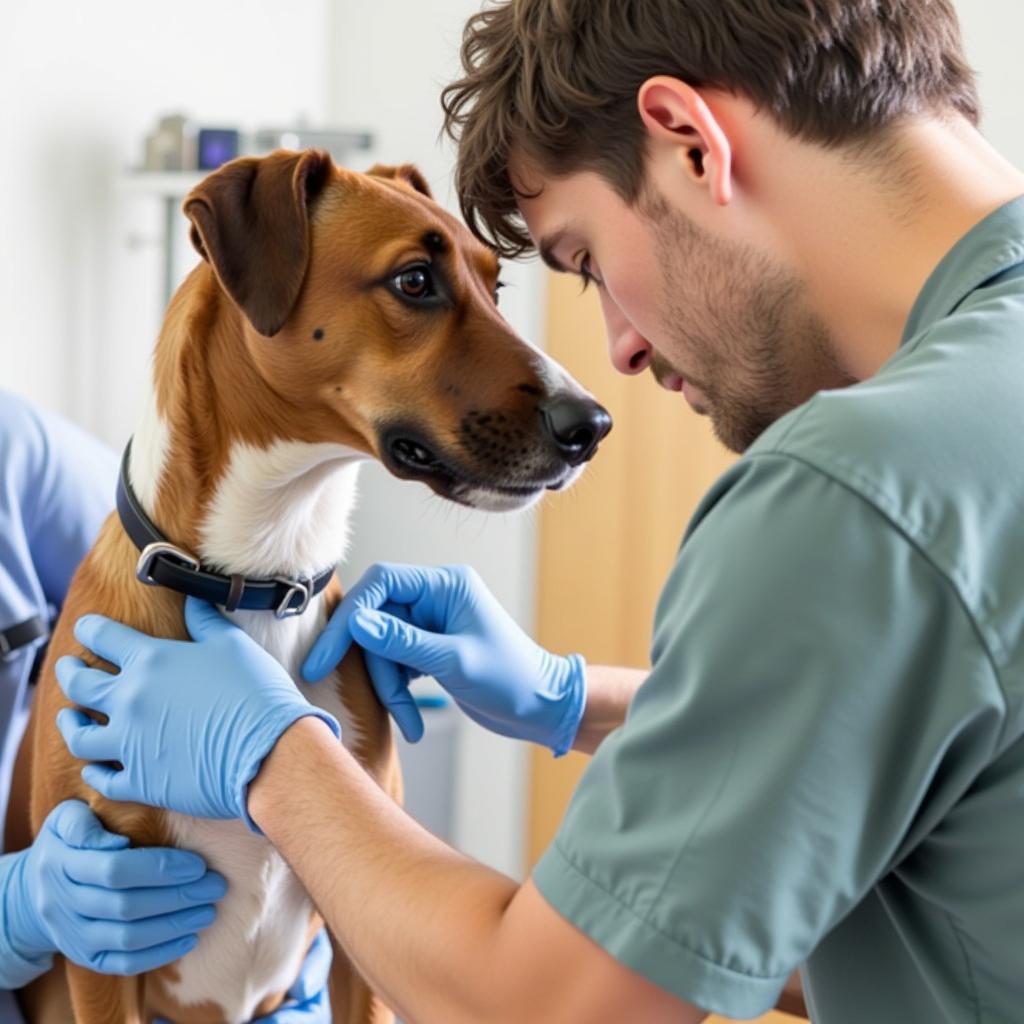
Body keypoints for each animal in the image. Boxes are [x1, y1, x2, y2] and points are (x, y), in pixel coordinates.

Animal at [4, 149, 610, 1024]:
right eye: (415, 280)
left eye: (495, 285)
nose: (592, 425)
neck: (260, 575)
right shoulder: (103, 941)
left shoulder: (363, 939)